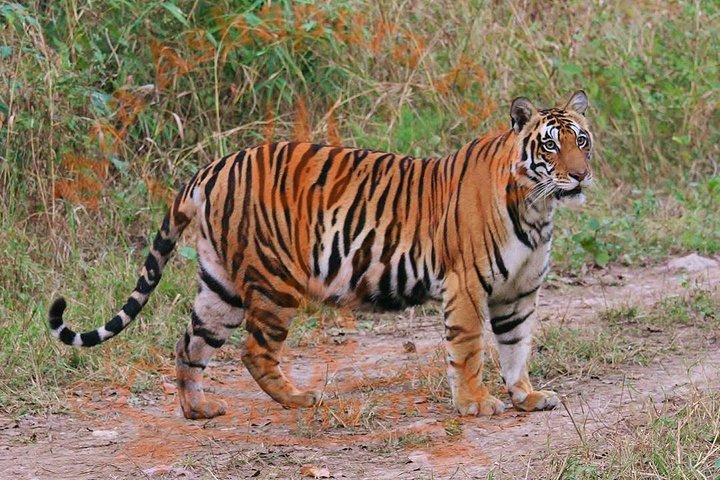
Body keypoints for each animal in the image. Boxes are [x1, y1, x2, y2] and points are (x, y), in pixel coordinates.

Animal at [49, 90, 593, 419]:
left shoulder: (518, 292)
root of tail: (211, 167)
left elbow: (516, 346)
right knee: (254, 351)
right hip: (274, 280)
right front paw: (476, 404)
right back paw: (299, 398)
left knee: (190, 343)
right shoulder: (466, 286)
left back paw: (197, 410)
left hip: (220, 286)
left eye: (582, 140)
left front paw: (526, 396)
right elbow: (469, 350)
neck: (536, 209)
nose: (581, 174)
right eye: (550, 146)